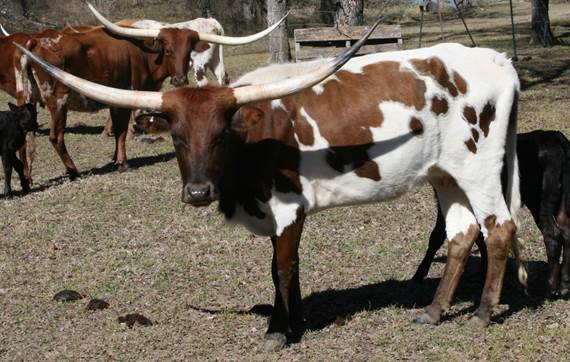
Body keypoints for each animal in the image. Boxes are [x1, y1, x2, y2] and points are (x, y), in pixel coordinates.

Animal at [16, 20, 524, 350]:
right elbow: (286, 268)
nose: (197, 193)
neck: (254, 139)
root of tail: (495, 59)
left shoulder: (286, 208)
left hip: (479, 168)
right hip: (445, 174)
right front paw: (296, 320)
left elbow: (281, 268)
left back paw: (482, 313)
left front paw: (279, 330)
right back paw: (434, 312)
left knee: (498, 228)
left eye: (220, 134)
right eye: (177, 137)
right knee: (461, 234)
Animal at [410, 132, 568, 298]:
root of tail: (554, 137)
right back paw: (564, 286)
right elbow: (480, 238)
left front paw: (418, 275)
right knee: (566, 233)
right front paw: (484, 273)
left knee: (552, 235)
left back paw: (551, 289)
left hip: (541, 200)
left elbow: (437, 236)